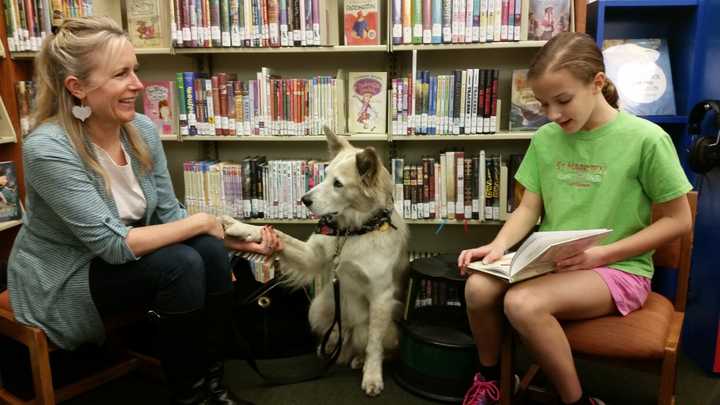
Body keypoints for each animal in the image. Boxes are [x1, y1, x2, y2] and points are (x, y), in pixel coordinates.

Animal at [222, 126, 408, 394]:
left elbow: (374, 344)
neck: (352, 231)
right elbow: (281, 235)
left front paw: (372, 376)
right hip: (319, 307)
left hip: (383, 326)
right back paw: (331, 347)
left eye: (338, 184)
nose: (304, 199)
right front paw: (241, 228)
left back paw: (359, 359)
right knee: (336, 336)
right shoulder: (311, 256)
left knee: (372, 345)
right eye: (325, 174)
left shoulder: (381, 296)